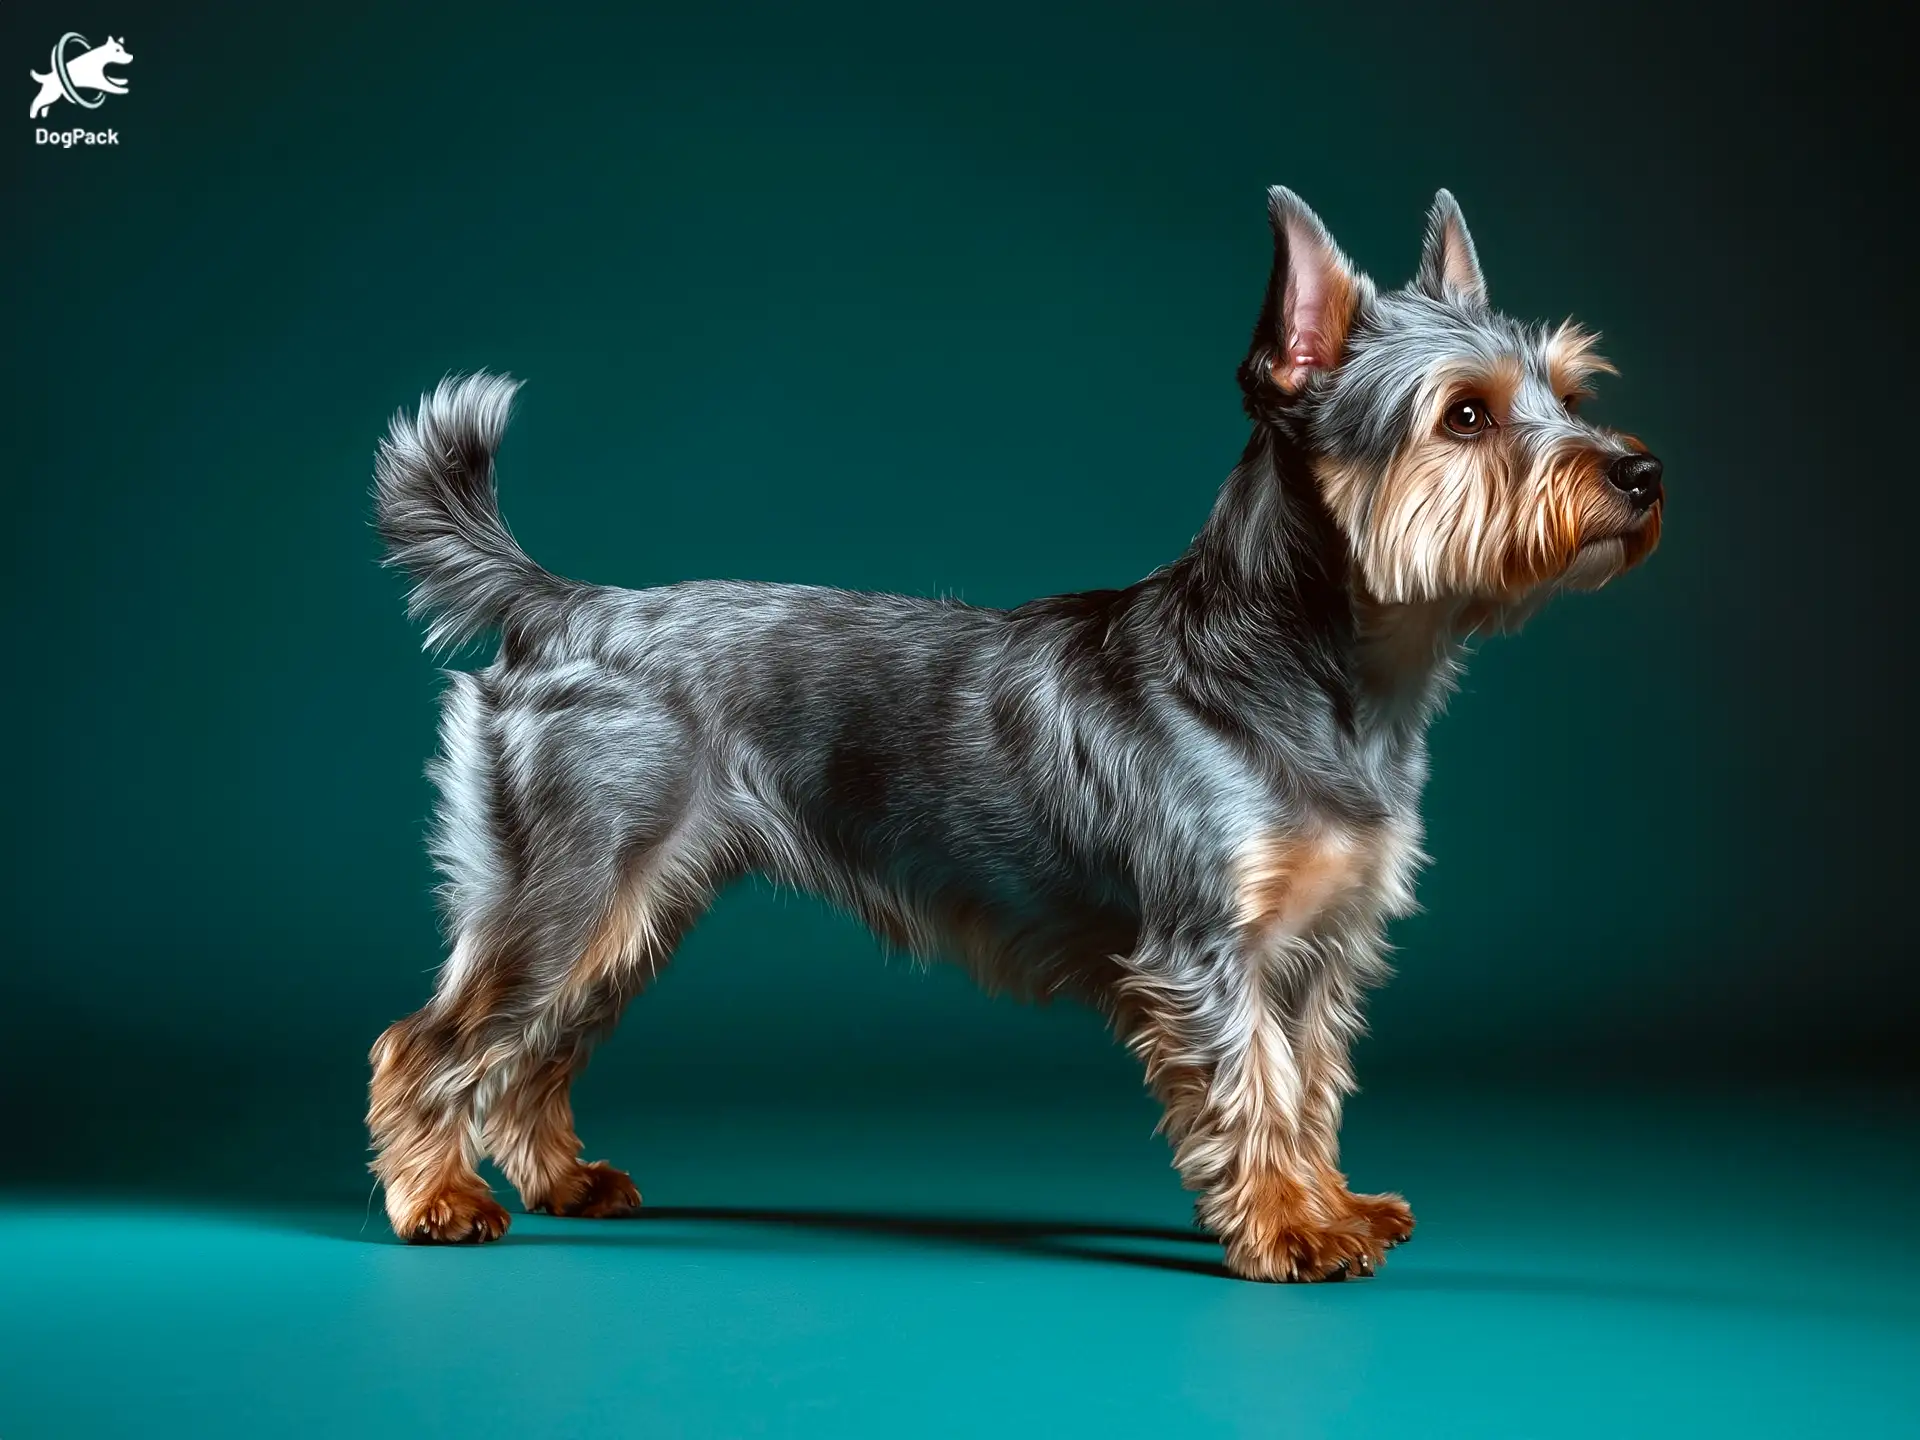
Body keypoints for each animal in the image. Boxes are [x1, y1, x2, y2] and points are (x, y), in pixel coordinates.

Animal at [362, 189, 1666, 1282]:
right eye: (1466, 415)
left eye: (1570, 394)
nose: (1641, 473)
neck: (1324, 677)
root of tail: (568, 607)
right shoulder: (1210, 951)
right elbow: (1252, 1084)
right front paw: (1290, 1231)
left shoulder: (1321, 950)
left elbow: (1307, 1087)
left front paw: (1329, 1204)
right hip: (576, 875)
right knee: (431, 1040)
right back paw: (439, 1203)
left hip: (636, 902)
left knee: (536, 1045)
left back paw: (562, 1181)